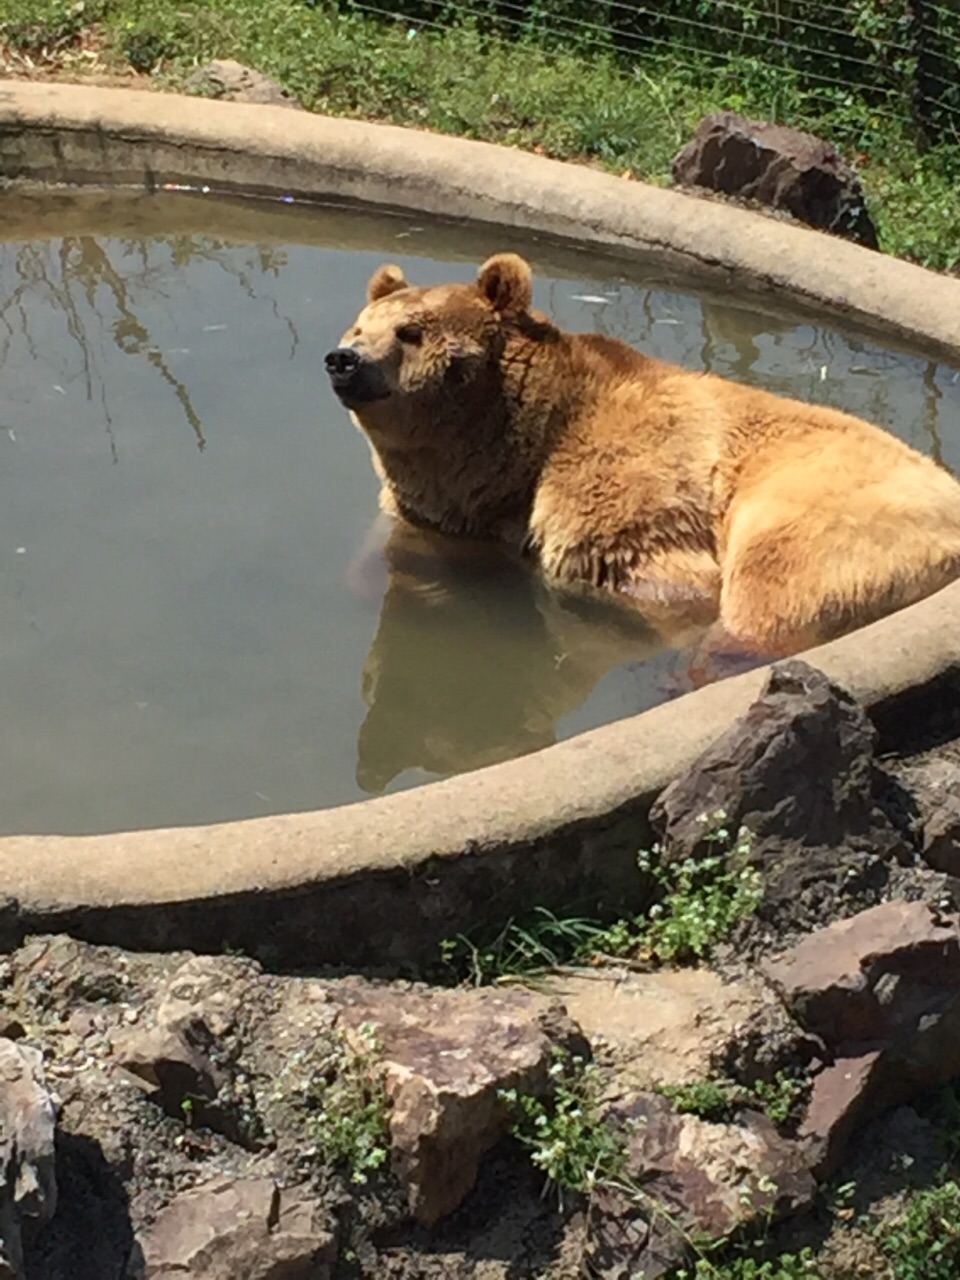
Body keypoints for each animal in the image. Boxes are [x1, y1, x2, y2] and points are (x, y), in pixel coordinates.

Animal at [327, 250, 960, 660]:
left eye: (411, 332)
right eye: (359, 326)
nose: (344, 360)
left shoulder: (627, 479)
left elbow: (656, 569)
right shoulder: (447, 508)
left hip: (828, 499)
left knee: (774, 578)